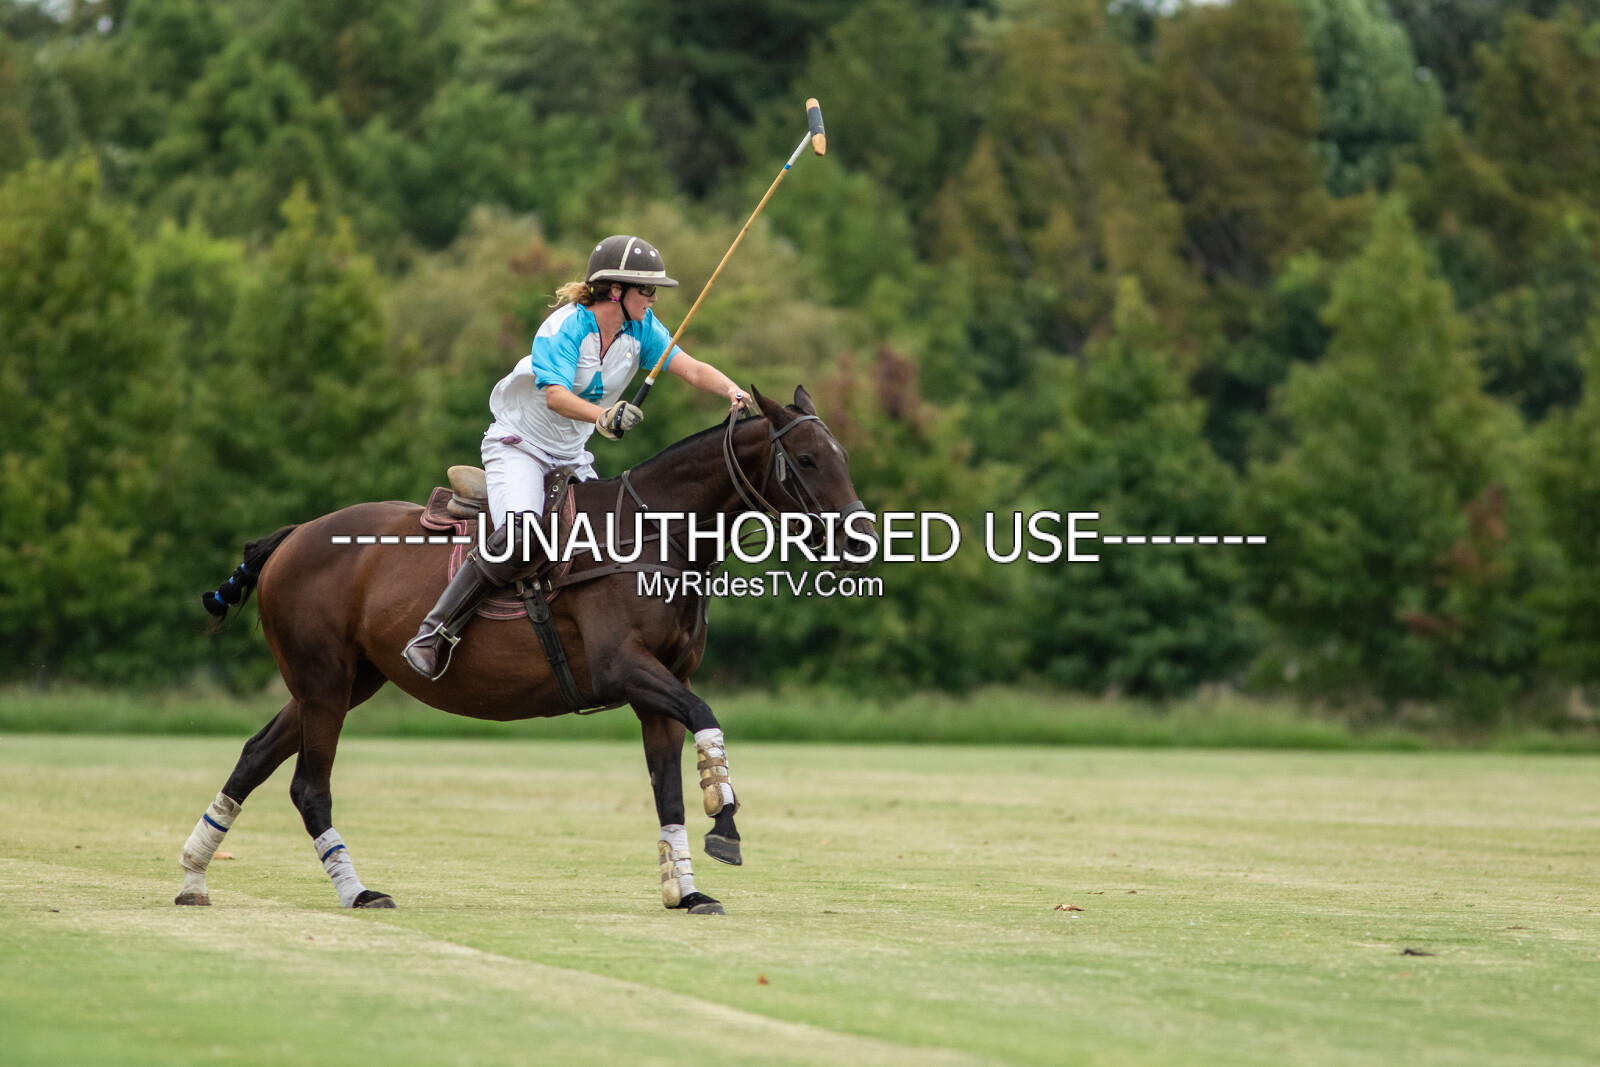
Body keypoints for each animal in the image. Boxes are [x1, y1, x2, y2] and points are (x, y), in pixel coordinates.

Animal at [174, 386, 869, 915]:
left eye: (841, 456)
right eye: (807, 459)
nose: (861, 539)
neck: (654, 535)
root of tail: (294, 535)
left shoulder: (659, 686)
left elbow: (667, 788)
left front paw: (687, 891)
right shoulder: (625, 669)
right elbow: (706, 718)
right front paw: (724, 819)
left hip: (345, 680)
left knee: (254, 755)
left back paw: (193, 878)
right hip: (323, 679)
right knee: (308, 786)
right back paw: (357, 891)